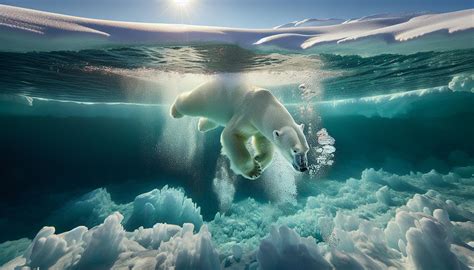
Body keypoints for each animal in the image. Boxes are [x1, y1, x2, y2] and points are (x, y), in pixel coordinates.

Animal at [168, 77, 310, 179]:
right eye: (295, 150)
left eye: (306, 149)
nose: (303, 167)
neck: (265, 107)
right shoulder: (247, 114)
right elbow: (230, 135)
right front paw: (253, 170)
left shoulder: (259, 127)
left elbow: (263, 142)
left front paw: (258, 160)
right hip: (209, 95)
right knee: (191, 103)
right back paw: (175, 111)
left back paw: (202, 125)